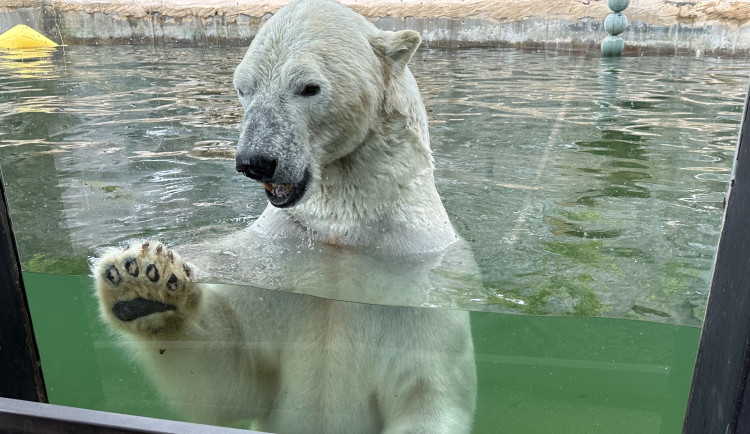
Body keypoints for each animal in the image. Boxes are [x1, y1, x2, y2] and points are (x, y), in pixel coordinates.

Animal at [94, 0, 478, 432]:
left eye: (309, 87)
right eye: (243, 88)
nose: (255, 161)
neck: (340, 235)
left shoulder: (420, 292)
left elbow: (426, 395)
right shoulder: (270, 264)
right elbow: (230, 381)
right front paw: (143, 280)